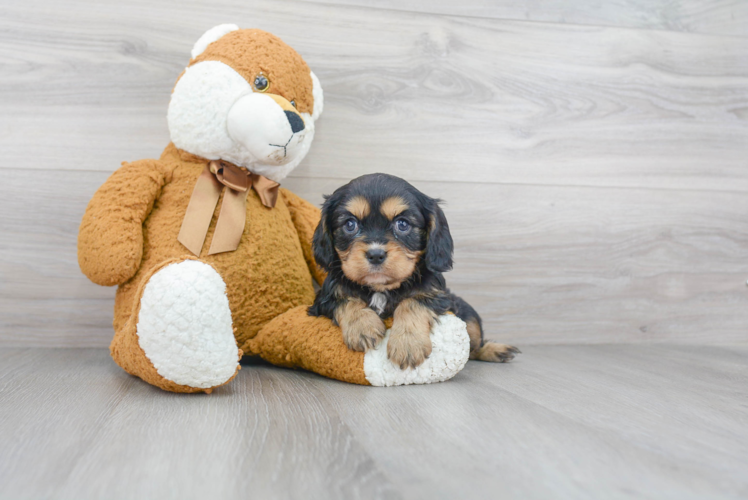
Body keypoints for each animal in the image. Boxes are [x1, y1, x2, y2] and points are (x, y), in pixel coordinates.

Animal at [306, 174, 516, 370]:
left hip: (470, 315)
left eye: (403, 224)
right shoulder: (323, 299)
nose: (375, 254)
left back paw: (496, 350)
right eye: (350, 224)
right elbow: (346, 300)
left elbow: (412, 302)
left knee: (474, 345)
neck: (381, 289)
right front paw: (362, 327)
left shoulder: (437, 295)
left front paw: (407, 344)